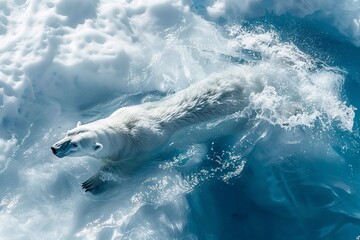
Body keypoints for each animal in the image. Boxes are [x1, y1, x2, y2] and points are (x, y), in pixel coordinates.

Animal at [50, 68, 262, 192]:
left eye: (75, 145)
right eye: (68, 133)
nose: (54, 148)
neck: (125, 129)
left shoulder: (140, 151)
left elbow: (122, 168)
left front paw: (92, 181)